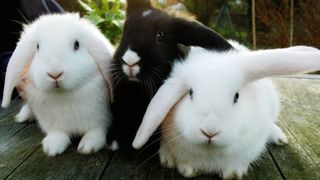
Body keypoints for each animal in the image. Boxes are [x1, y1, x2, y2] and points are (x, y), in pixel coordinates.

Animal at [1, 13, 115, 156]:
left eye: (77, 45)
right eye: (37, 47)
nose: (54, 74)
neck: (63, 96)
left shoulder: (100, 120)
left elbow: (96, 131)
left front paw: (88, 147)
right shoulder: (54, 125)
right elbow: (58, 134)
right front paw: (51, 148)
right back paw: (23, 117)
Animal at [132, 41, 320, 179]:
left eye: (236, 96)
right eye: (190, 93)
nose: (209, 131)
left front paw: (234, 173)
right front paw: (187, 170)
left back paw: (280, 138)